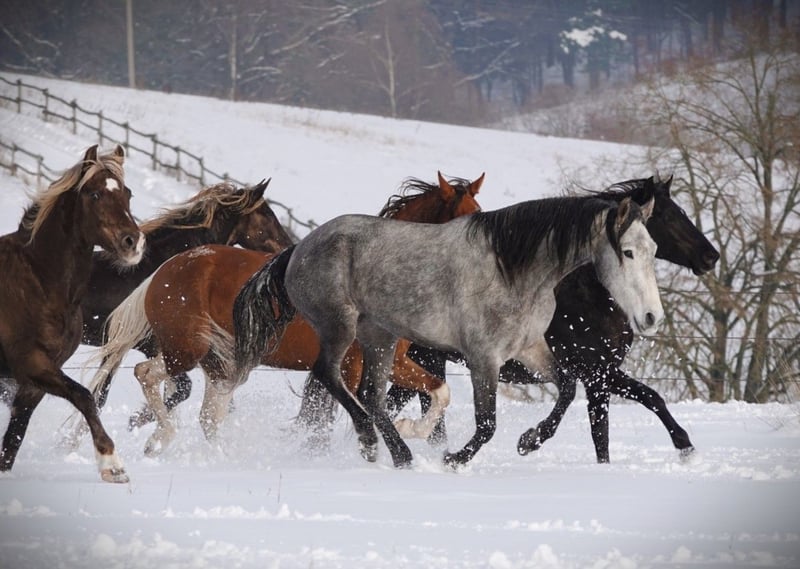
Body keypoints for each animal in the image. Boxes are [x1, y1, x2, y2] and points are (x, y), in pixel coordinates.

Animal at [0, 145, 145, 483]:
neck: (41, 282)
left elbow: (11, 444)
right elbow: (85, 396)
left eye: (128, 193)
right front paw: (111, 464)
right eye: (94, 194)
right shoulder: (32, 363)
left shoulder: (33, 384)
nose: (133, 242)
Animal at [80, 173, 483, 456]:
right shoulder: (355, 366)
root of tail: (164, 270)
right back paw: (160, 439)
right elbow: (347, 413)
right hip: (186, 350)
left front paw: (410, 432)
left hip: (217, 362)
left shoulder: (393, 362)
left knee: (207, 415)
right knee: (146, 375)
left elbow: (439, 392)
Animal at [231, 192, 663, 468]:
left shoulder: (528, 348)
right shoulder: (483, 357)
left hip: (379, 337)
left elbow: (568, 388)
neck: (515, 271)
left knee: (370, 394)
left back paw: (400, 454)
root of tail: (299, 248)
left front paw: (529, 441)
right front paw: (454, 458)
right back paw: (372, 442)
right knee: (330, 375)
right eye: (627, 253)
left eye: (654, 250)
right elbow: (486, 423)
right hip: (341, 327)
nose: (651, 318)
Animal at [384, 174, 720, 462]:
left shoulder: (602, 373)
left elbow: (645, 401)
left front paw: (685, 447)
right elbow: (606, 428)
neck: (590, 297)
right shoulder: (596, 373)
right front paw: (529, 440)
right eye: (669, 216)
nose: (711, 256)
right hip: (428, 359)